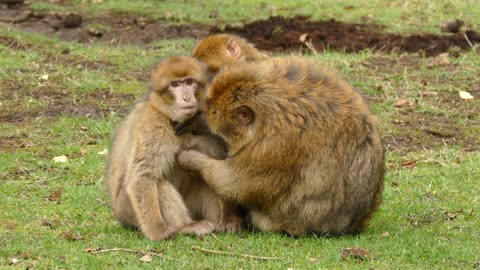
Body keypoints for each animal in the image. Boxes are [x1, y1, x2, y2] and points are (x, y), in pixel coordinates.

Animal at [108, 55, 242, 240]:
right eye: (175, 85)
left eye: (189, 82)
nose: (186, 97)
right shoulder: (152, 127)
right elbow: (142, 177)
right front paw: (157, 231)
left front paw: (231, 217)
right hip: (127, 210)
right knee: (157, 181)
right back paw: (186, 226)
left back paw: (221, 221)